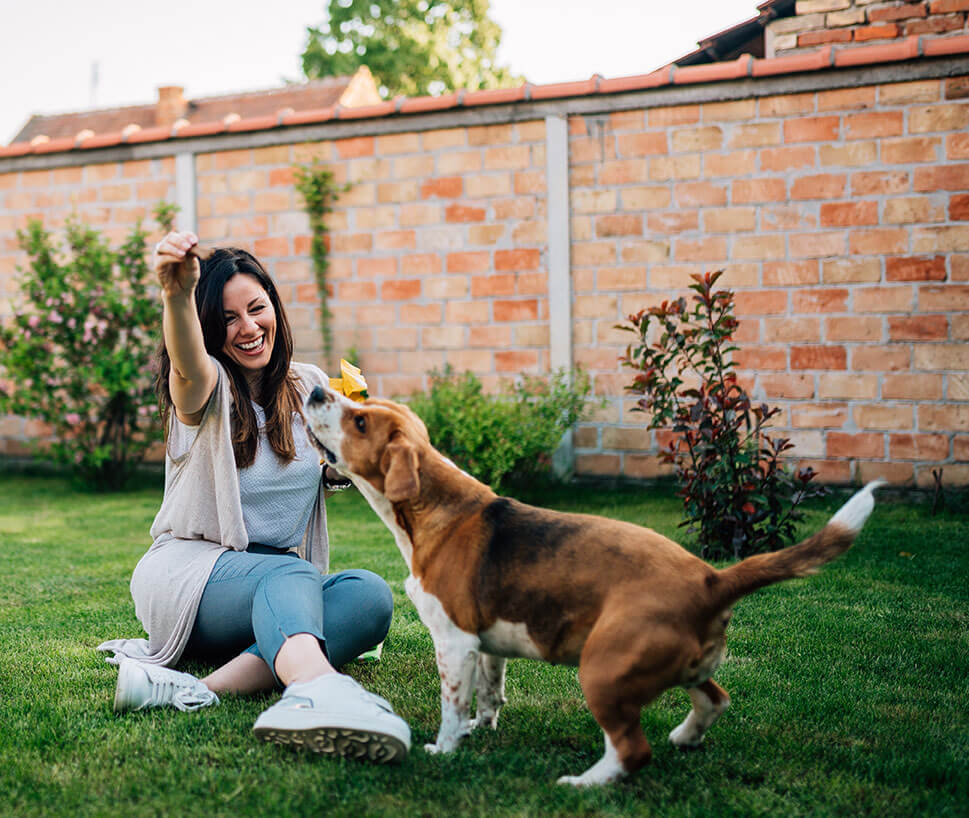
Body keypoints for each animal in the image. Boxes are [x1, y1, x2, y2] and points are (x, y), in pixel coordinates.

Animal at [304, 384, 884, 784]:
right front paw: (481, 729)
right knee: (715, 699)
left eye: (359, 419)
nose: (314, 391)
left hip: (602, 671)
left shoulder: (453, 642)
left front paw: (445, 750)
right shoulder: (487, 645)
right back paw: (685, 737)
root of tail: (711, 578)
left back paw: (585, 784)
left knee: (631, 749)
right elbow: (489, 696)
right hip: (682, 668)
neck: (436, 509)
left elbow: (453, 707)